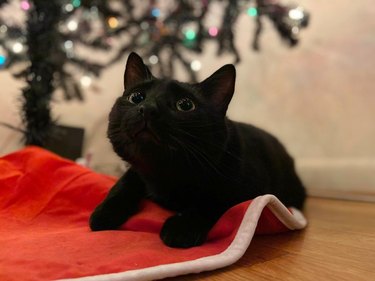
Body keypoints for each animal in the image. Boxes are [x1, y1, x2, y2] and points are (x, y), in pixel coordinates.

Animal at [89, 52, 306, 247]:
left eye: (185, 105)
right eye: (136, 97)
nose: (148, 109)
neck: (165, 175)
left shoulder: (249, 190)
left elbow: (212, 200)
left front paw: (181, 228)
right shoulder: (137, 170)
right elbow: (122, 184)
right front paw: (104, 213)